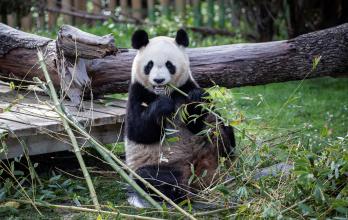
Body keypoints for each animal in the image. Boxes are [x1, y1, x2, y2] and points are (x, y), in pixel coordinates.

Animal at [123, 28, 235, 206]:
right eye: (149, 65)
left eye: (169, 65)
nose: (159, 80)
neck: (165, 93)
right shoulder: (138, 92)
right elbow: (139, 131)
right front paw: (162, 106)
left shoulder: (185, 88)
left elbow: (197, 122)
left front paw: (196, 99)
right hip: (164, 164)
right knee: (151, 177)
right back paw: (177, 193)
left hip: (213, 146)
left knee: (222, 133)